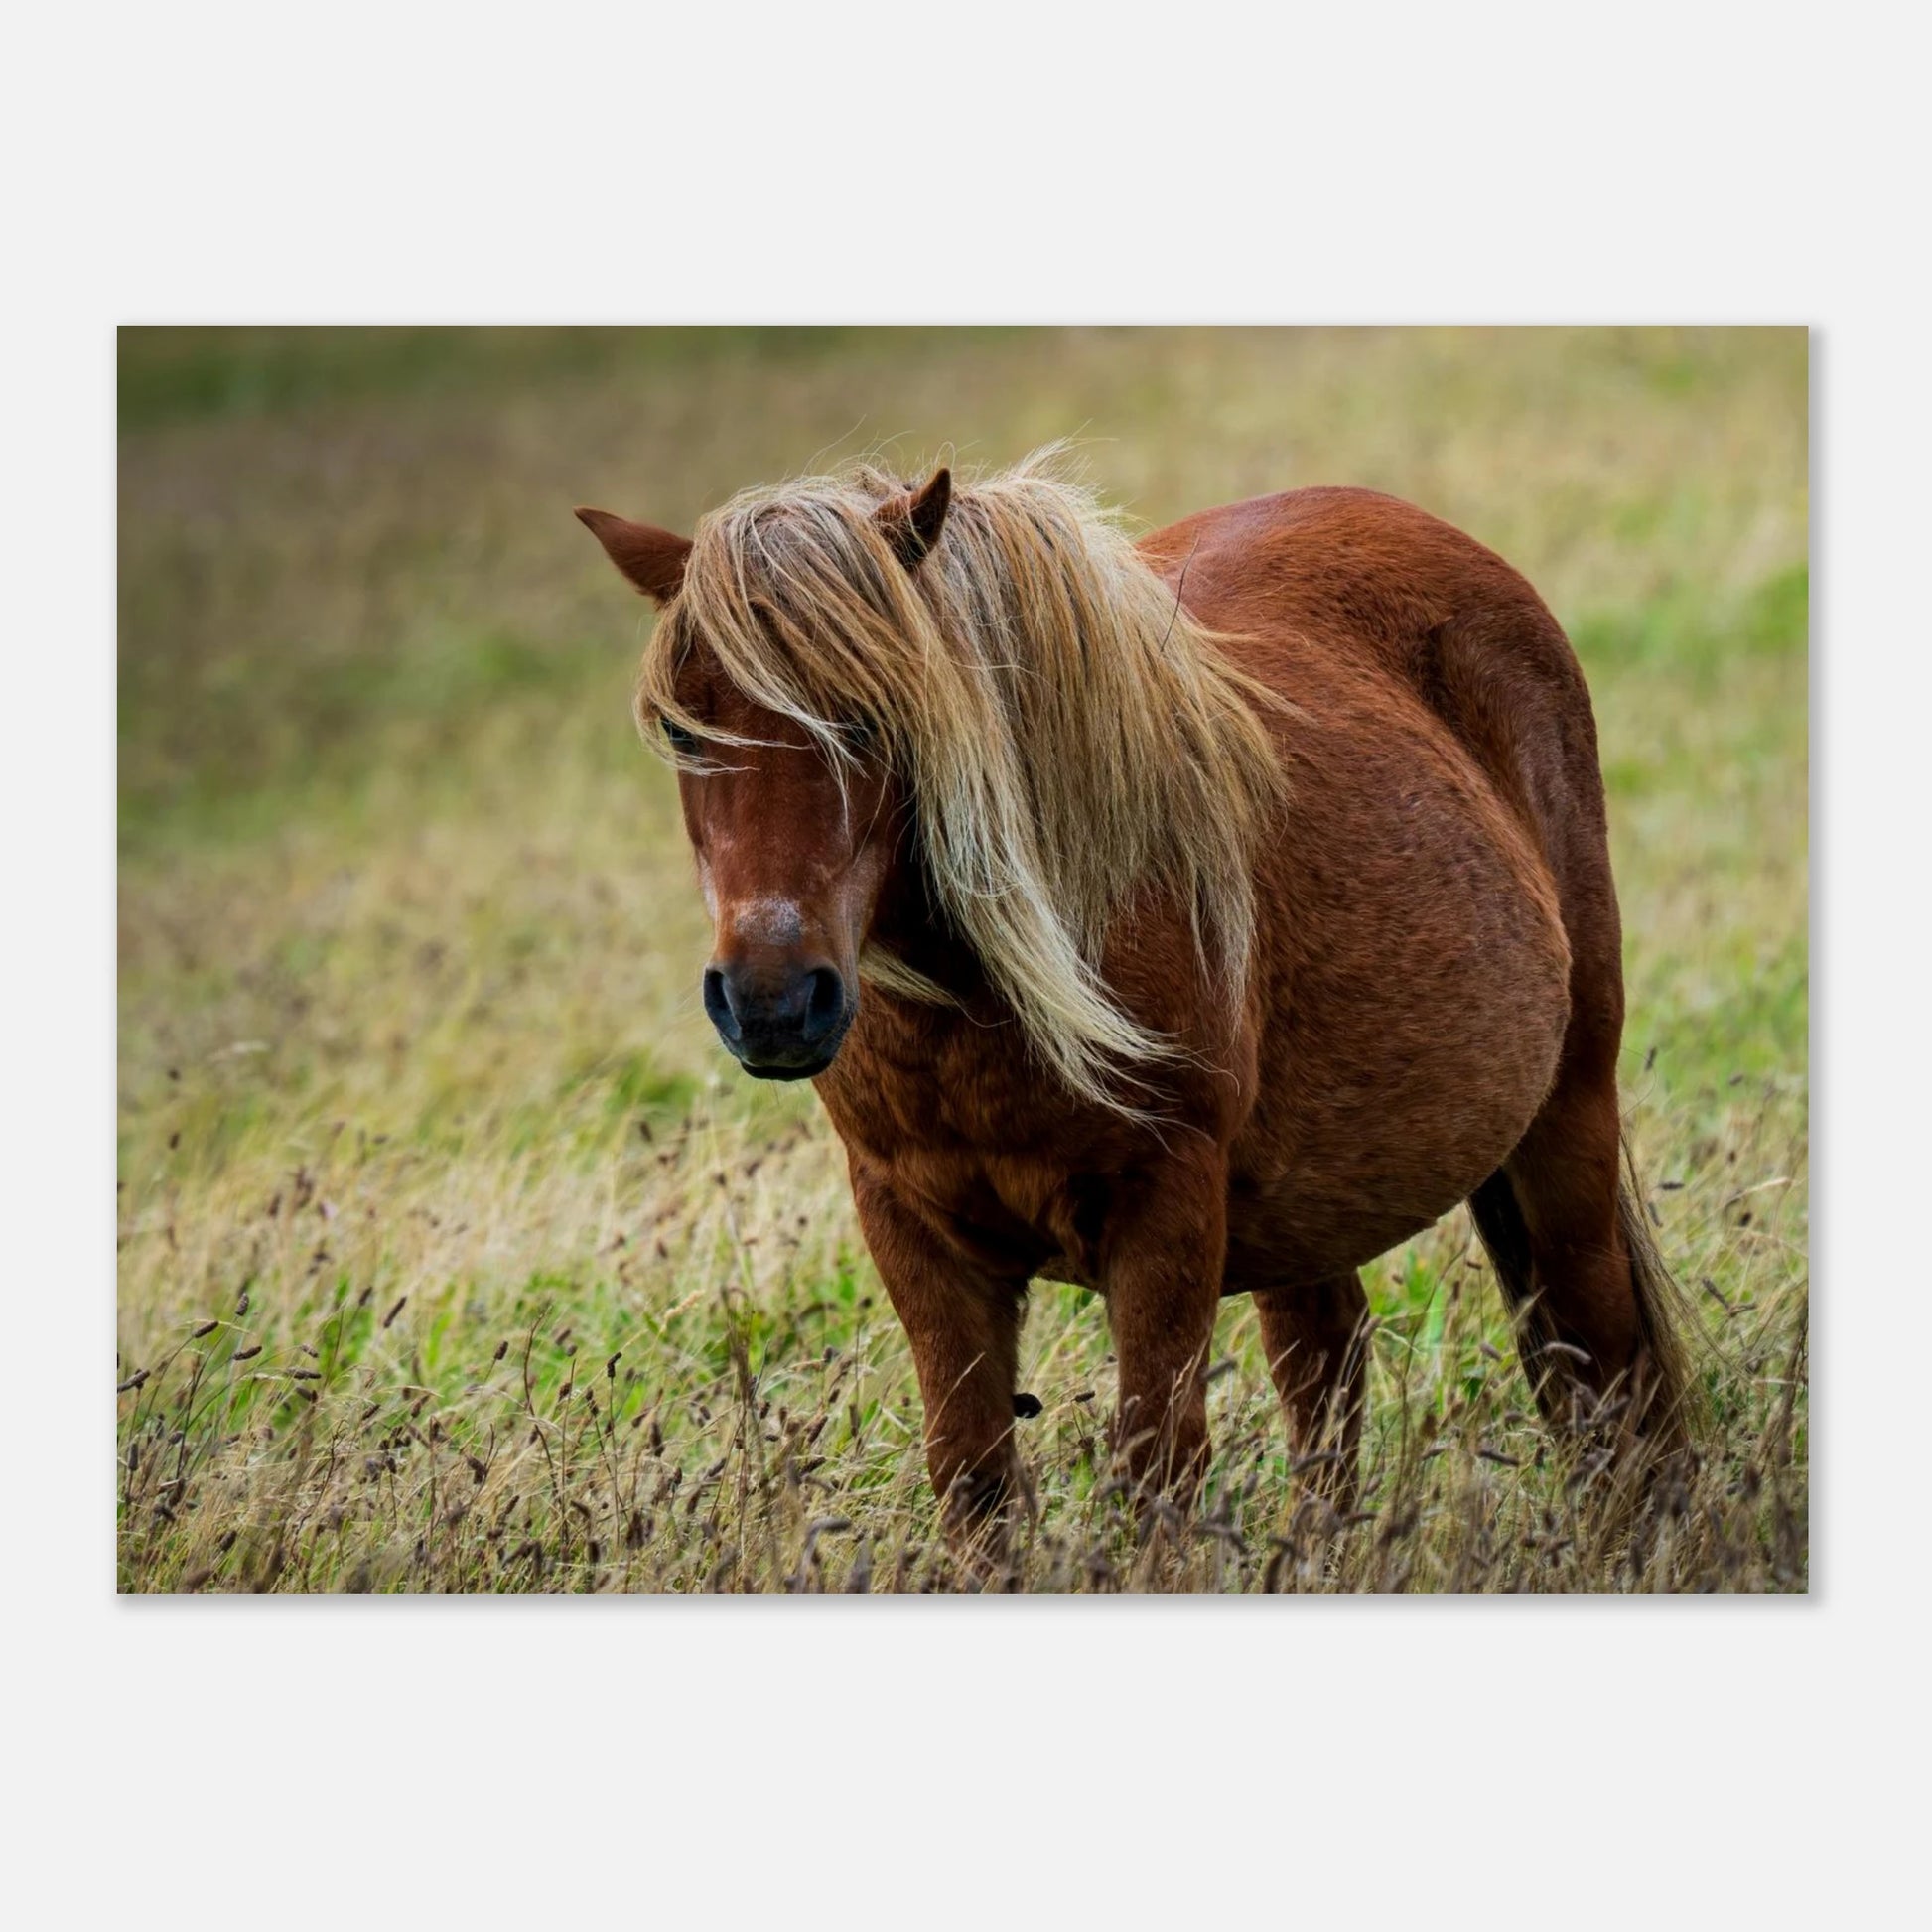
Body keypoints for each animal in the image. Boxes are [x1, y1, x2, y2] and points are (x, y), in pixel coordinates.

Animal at [576, 454, 1690, 1559]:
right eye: (682, 730)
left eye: (869, 714)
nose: (771, 1000)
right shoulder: (911, 1226)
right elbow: (975, 1478)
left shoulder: (1165, 1210)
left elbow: (1158, 1469)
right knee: (1327, 1365)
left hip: (1565, 1116)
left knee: (1602, 1347)